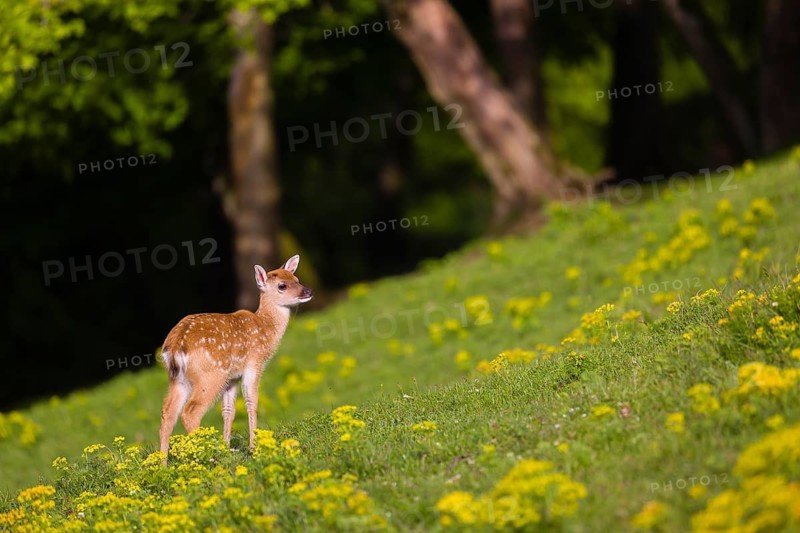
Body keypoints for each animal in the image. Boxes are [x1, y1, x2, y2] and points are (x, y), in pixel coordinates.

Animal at [158, 255, 312, 461]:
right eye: (282, 285)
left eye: (296, 279)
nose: (308, 290)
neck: (265, 328)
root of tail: (175, 346)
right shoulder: (254, 364)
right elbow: (252, 402)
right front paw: (254, 446)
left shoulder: (232, 378)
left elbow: (228, 411)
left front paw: (227, 447)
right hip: (210, 375)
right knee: (190, 411)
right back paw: (208, 457)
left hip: (178, 379)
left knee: (168, 412)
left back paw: (162, 463)